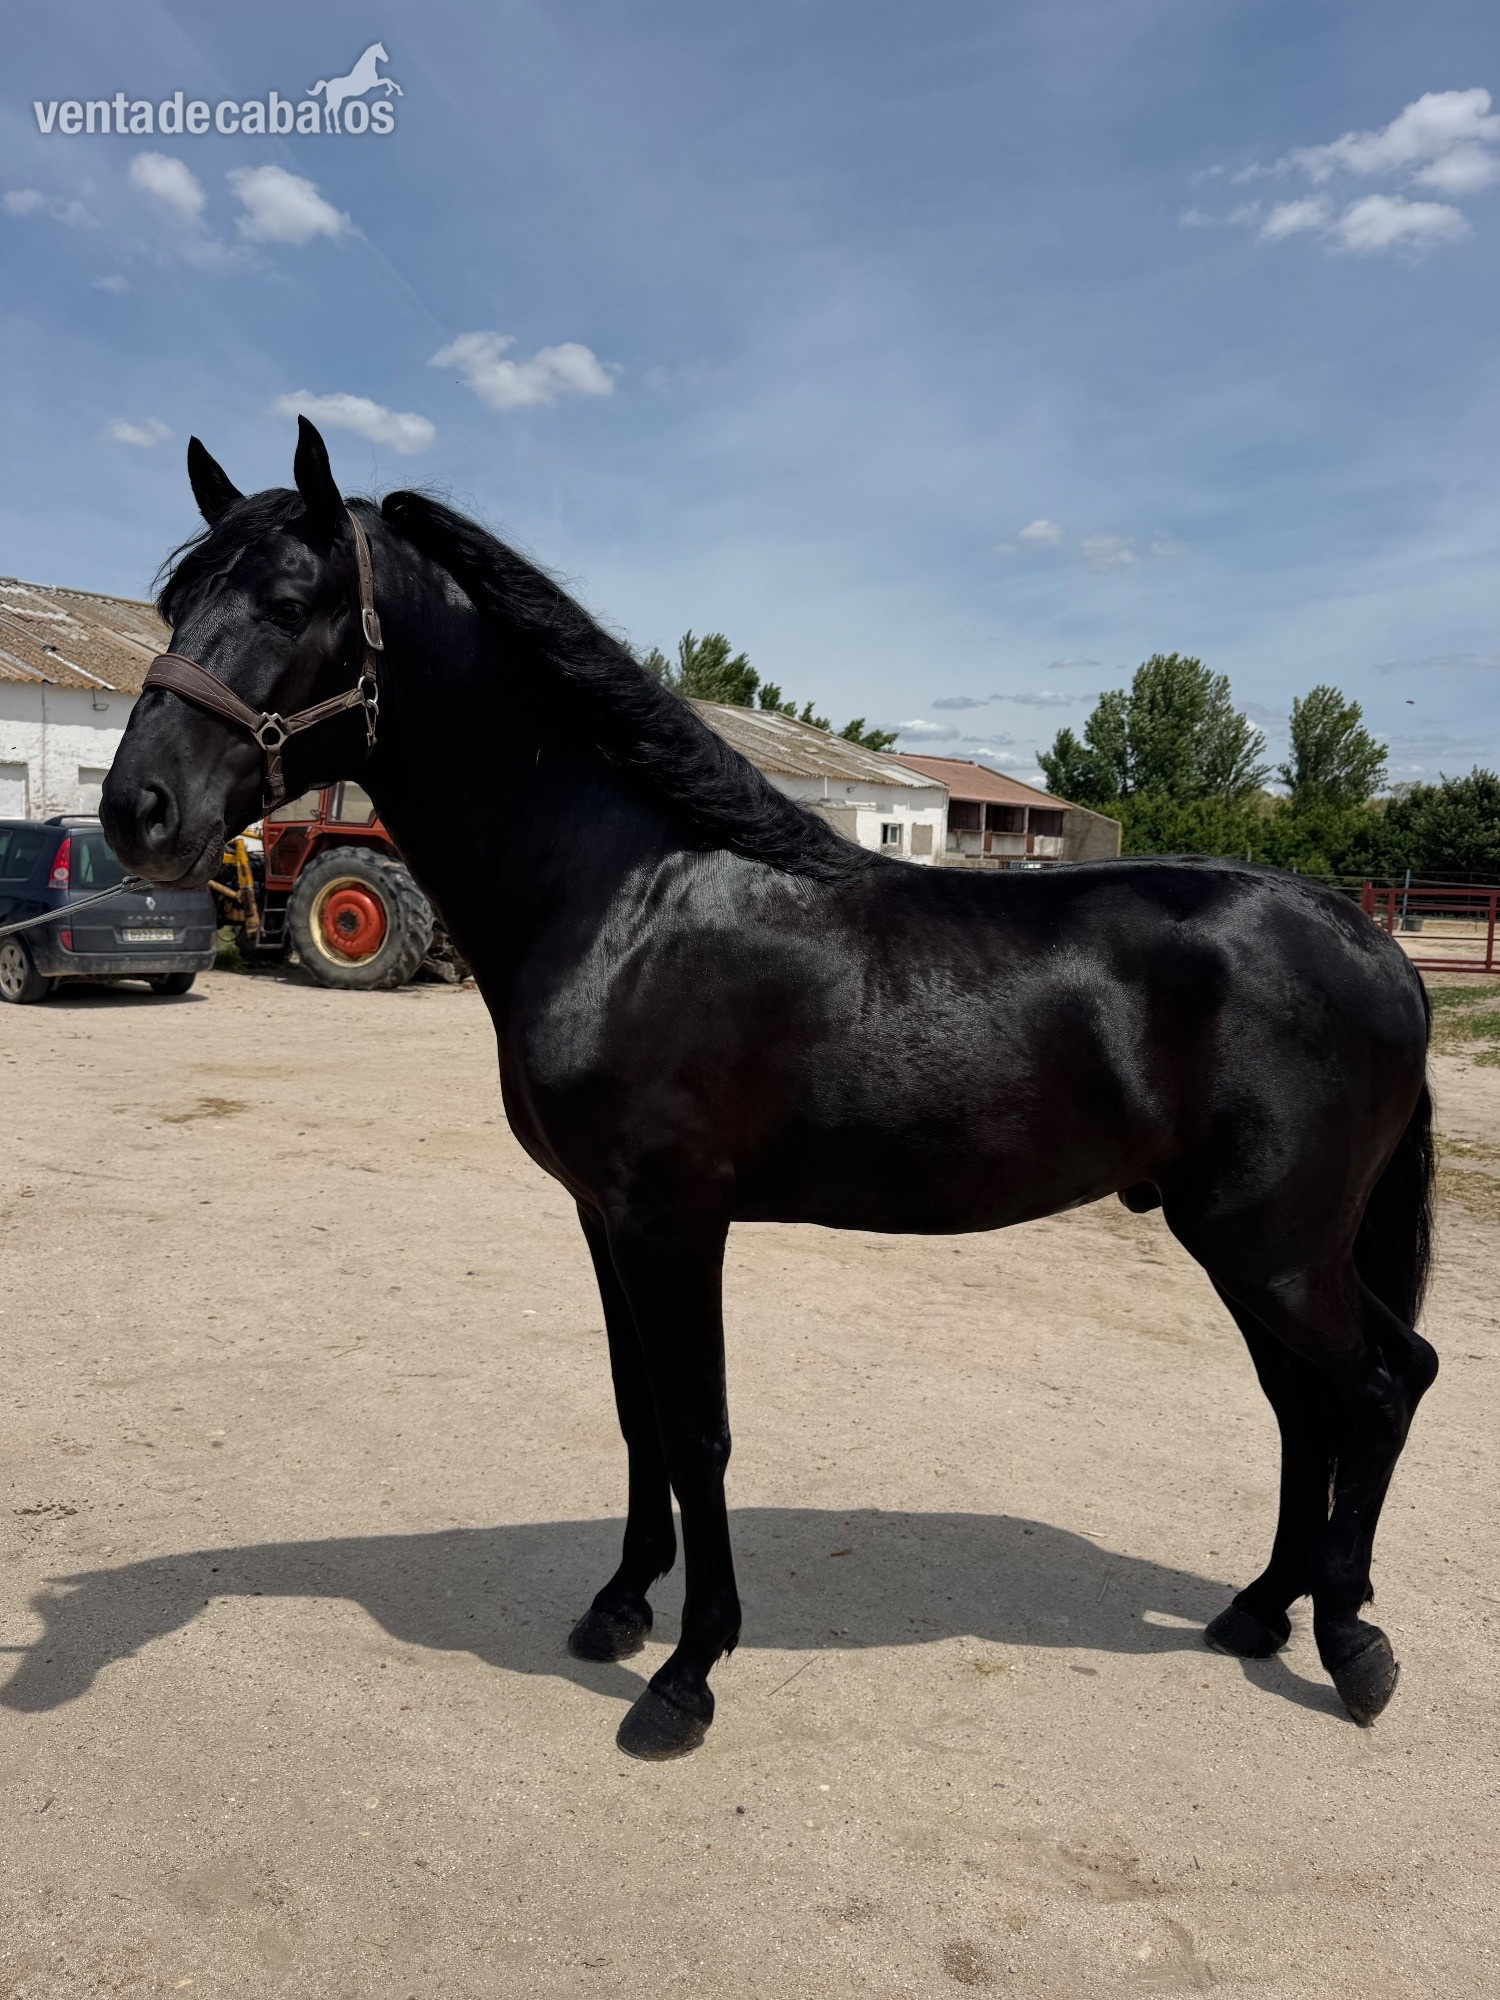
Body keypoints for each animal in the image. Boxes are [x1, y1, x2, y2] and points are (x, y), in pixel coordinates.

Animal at [101, 420, 1439, 1760]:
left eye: (289, 600)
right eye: (174, 601)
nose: (137, 810)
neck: (622, 898)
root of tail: (1371, 944)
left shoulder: (673, 1218)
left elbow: (699, 1429)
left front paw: (686, 1673)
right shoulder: (605, 1218)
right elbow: (639, 1410)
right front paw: (619, 1606)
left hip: (1270, 1242)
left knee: (1379, 1385)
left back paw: (1352, 1645)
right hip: (1250, 1246)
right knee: (1307, 1405)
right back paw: (1260, 1610)